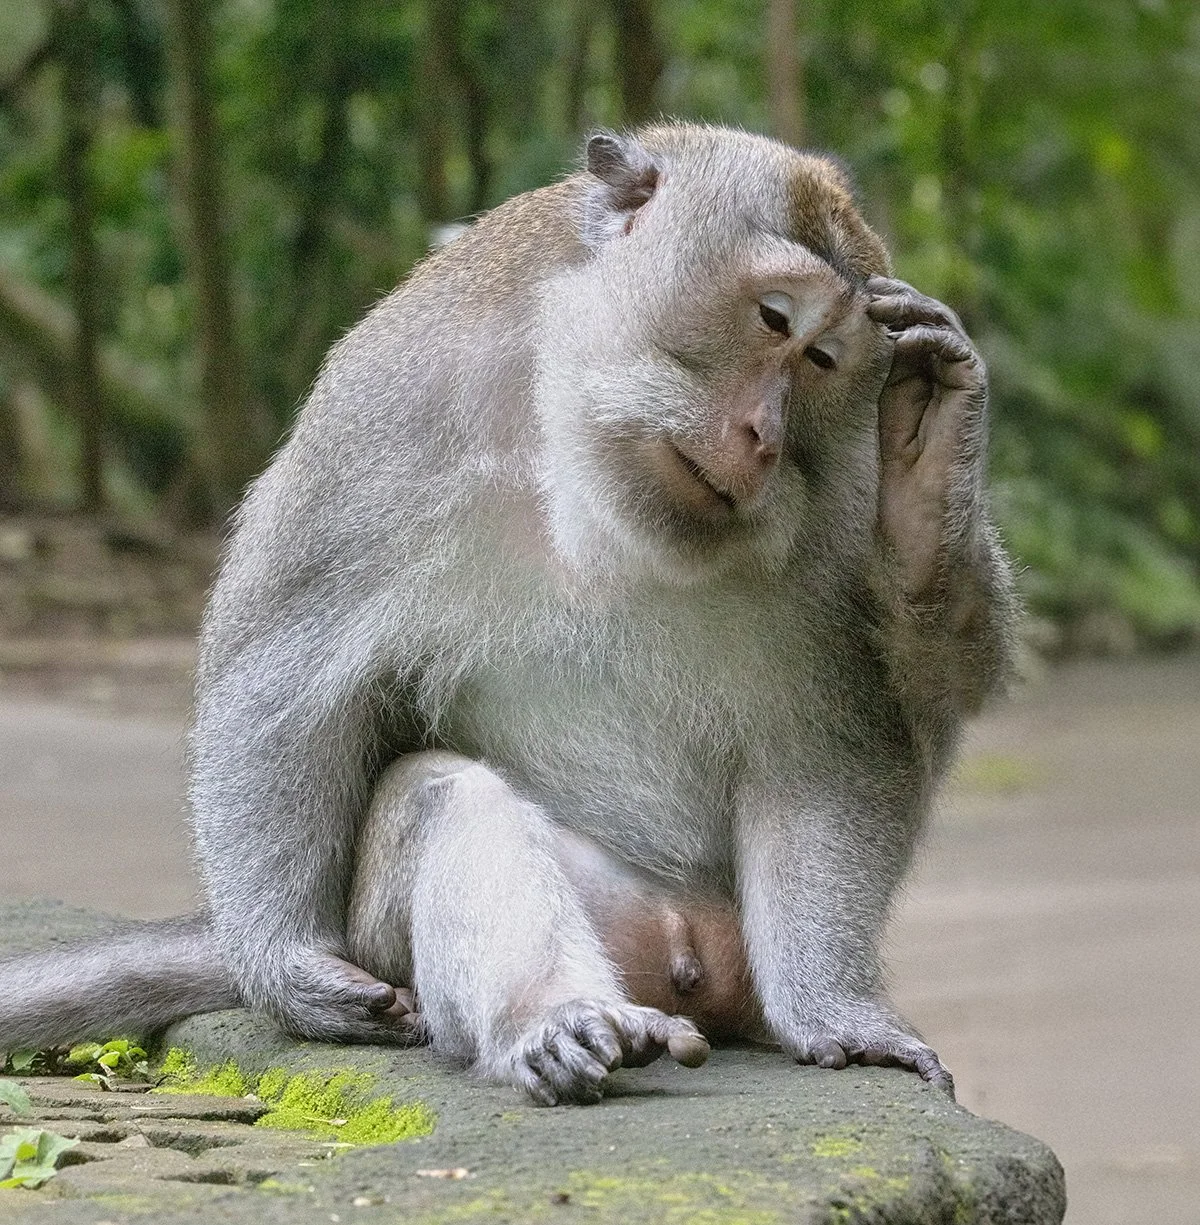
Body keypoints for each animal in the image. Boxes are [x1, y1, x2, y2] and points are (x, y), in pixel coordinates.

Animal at [0, 124, 1017, 1107]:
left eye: (823, 363)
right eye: (773, 317)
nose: (764, 436)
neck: (595, 481)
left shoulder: (843, 494)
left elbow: (852, 729)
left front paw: (929, 466)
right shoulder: (393, 411)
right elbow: (280, 671)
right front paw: (280, 956)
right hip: (436, 932)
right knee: (439, 795)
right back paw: (558, 1019)